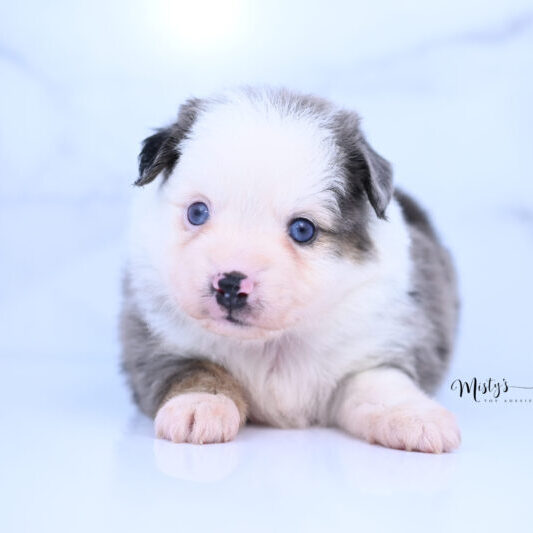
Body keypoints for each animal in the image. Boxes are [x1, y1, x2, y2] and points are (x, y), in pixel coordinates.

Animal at [119, 87, 458, 454]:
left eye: (302, 230)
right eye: (197, 212)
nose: (230, 285)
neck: (273, 343)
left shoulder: (374, 344)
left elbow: (380, 384)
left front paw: (414, 416)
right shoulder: (157, 343)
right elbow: (197, 370)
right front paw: (200, 404)